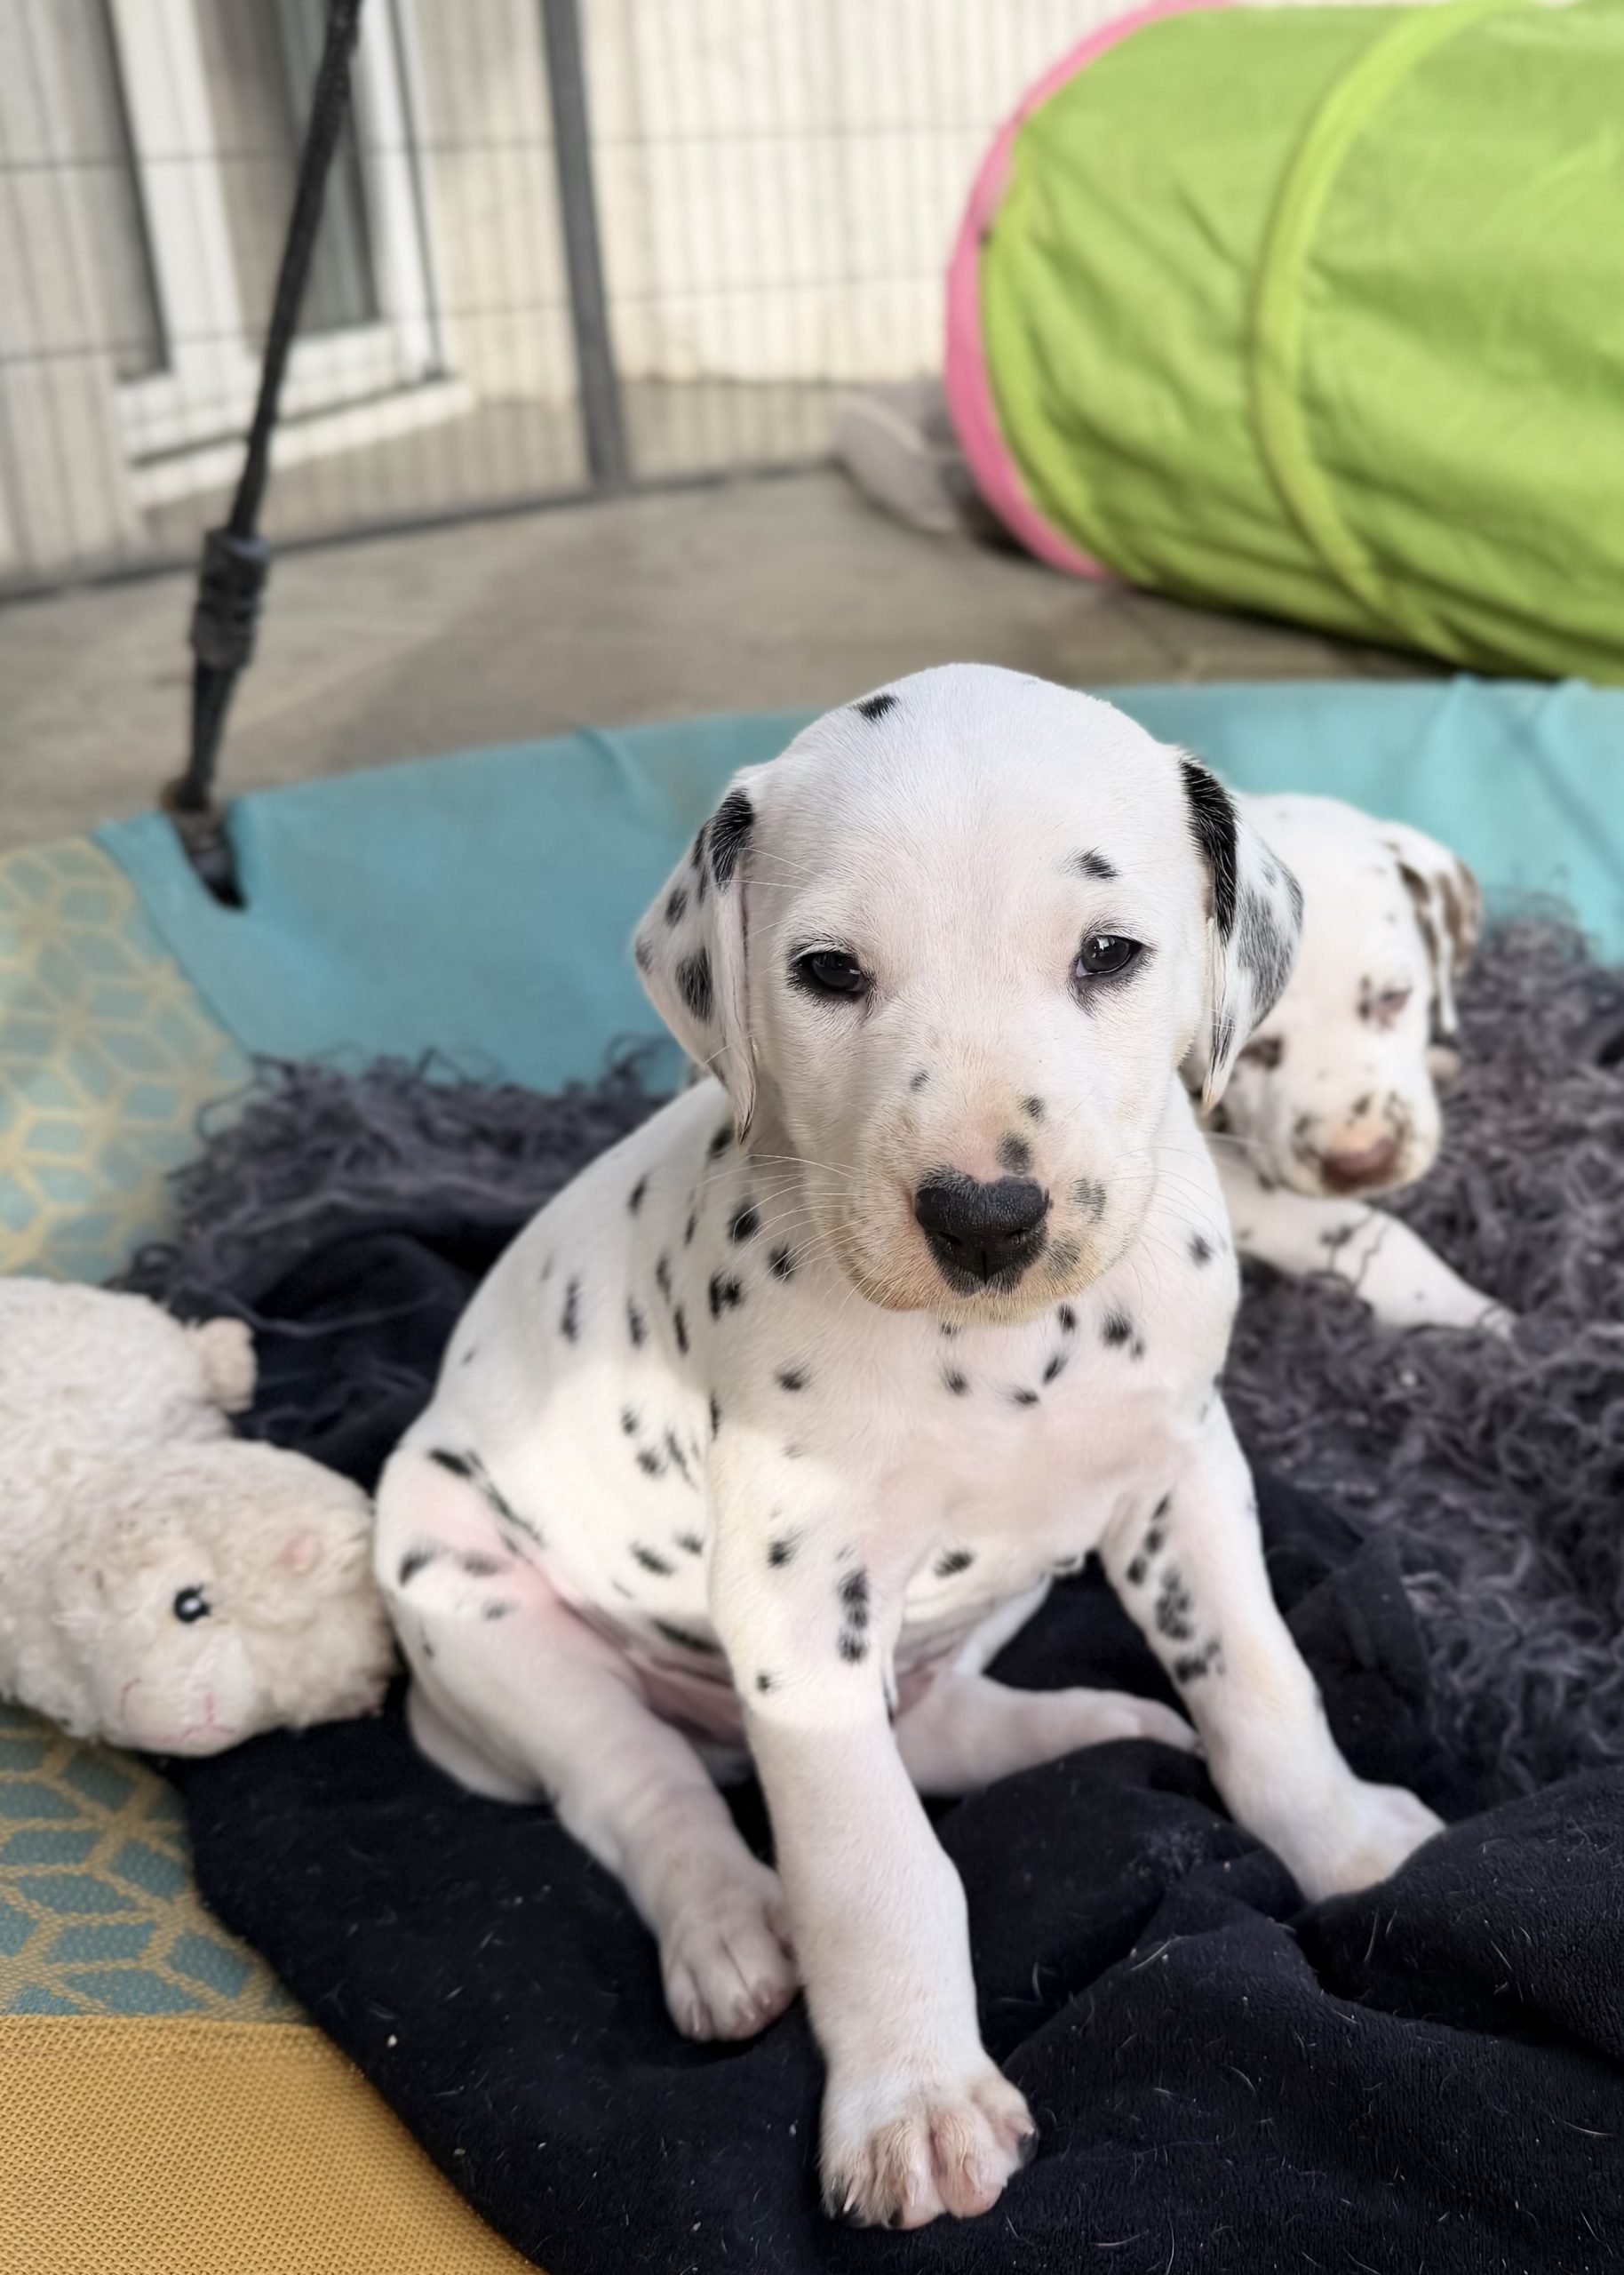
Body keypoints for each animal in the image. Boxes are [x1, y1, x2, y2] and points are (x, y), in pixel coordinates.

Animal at [374, 667, 1442, 2230]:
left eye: (1110, 954)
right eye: (829, 972)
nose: (985, 1214)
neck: (1003, 1353)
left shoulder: (1185, 1479)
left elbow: (1260, 1681)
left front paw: (1346, 1839)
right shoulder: (794, 1605)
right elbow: (875, 1866)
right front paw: (915, 2101)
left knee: (931, 1726)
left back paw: (1100, 1725)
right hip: (476, 1601)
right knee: (641, 1786)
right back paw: (729, 1929)